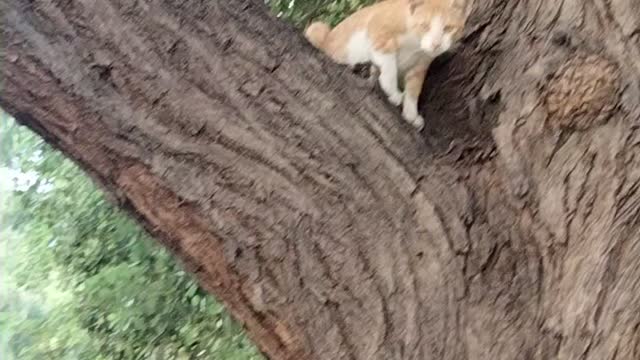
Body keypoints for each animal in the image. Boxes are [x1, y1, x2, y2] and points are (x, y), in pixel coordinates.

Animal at [304, 0, 464, 131]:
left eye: (448, 28)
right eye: (425, 26)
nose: (436, 44)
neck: (414, 43)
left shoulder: (421, 64)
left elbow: (414, 89)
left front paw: (411, 114)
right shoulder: (377, 28)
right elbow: (389, 66)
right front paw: (394, 93)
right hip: (318, 29)